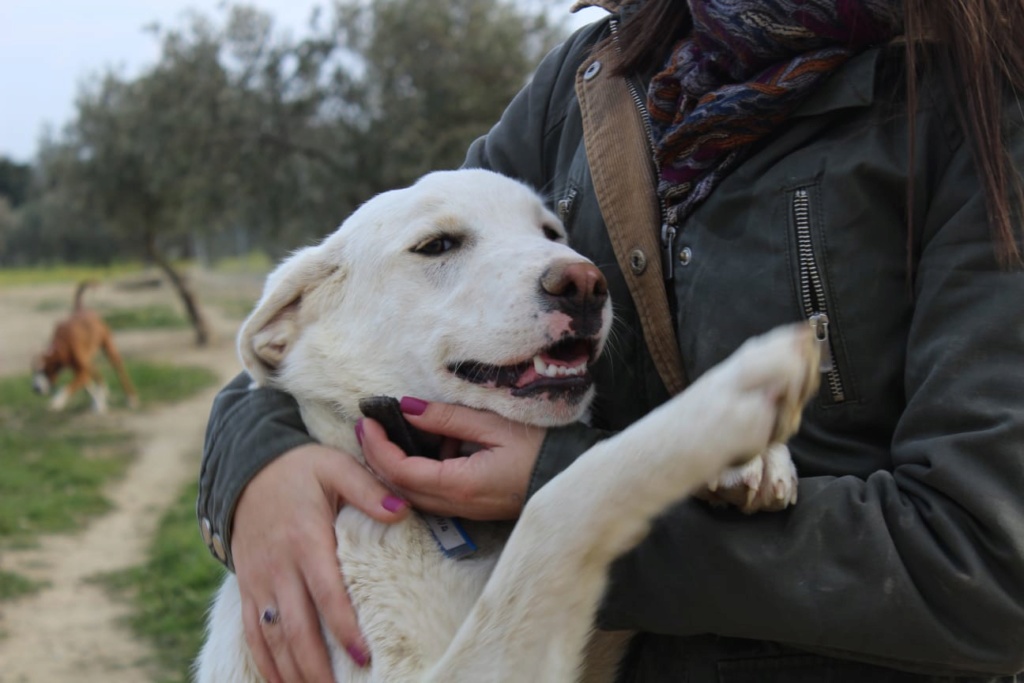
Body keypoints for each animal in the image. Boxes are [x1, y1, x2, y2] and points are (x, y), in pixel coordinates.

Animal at [32, 282, 140, 411]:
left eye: (45, 371)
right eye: (34, 371)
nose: (35, 389)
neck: (62, 344)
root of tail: (82, 309)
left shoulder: (82, 372)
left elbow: (68, 387)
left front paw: (57, 401)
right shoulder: (81, 371)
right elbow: (88, 387)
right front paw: (98, 402)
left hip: (110, 351)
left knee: (120, 372)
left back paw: (131, 398)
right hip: (90, 361)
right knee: (98, 375)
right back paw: (103, 393)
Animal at [197, 167, 823, 679]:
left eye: (551, 233)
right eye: (436, 245)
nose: (585, 283)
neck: (444, 529)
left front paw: (753, 458)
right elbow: (558, 507)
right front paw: (734, 396)